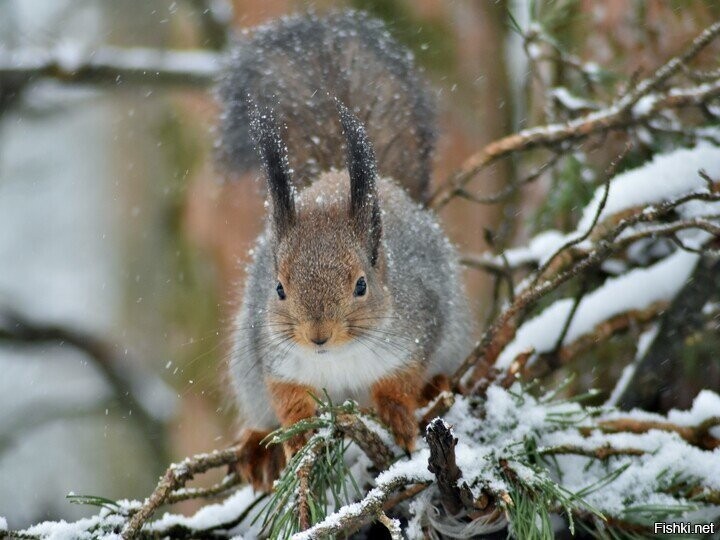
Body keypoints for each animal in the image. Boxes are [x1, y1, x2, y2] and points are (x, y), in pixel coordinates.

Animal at [222, 9, 476, 490]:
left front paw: (397, 413)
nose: (317, 335)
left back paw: (437, 386)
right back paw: (256, 446)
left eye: (361, 285)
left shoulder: (420, 324)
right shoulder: (271, 355)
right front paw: (297, 434)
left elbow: (400, 380)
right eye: (278, 289)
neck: (338, 358)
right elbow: (285, 395)